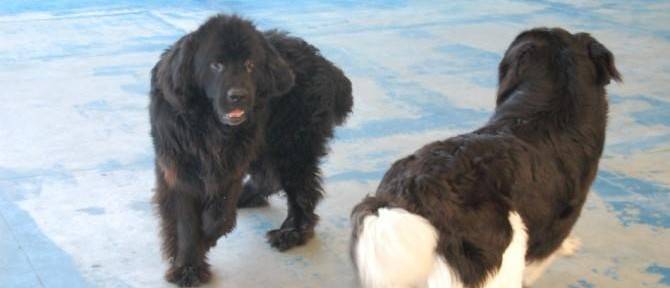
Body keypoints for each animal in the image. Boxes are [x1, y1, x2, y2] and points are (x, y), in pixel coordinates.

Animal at [150, 14, 354, 286]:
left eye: (249, 65)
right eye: (216, 65)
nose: (239, 95)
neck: (209, 126)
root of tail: (327, 66)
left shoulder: (231, 164)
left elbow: (219, 216)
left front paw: (208, 236)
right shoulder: (179, 167)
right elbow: (186, 223)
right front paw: (188, 266)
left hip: (290, 146)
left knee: (301, 190)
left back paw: (292, 232)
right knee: (270, 177)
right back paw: (249, 197)